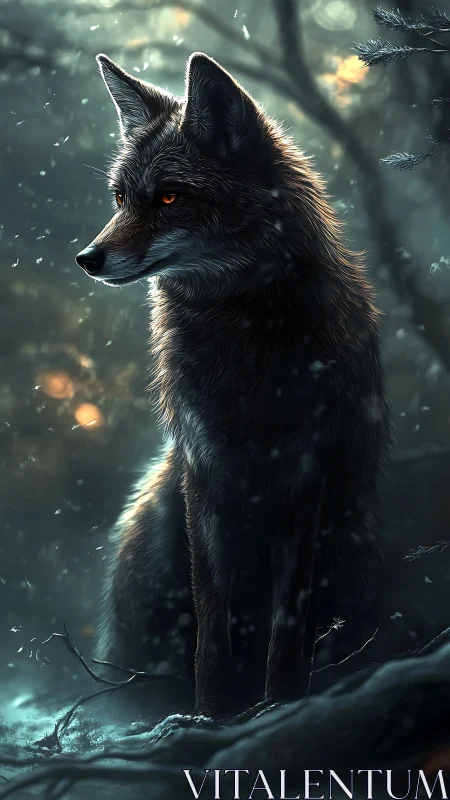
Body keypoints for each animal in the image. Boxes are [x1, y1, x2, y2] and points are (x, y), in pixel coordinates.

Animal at [75, 51, 391, 718]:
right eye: (121, 198)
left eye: (169, 197)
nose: (87, 259)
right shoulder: (206, 474)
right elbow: (211, 626)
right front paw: (211, 714)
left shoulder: (306, 478)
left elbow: (288, 624)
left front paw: (279, 703)